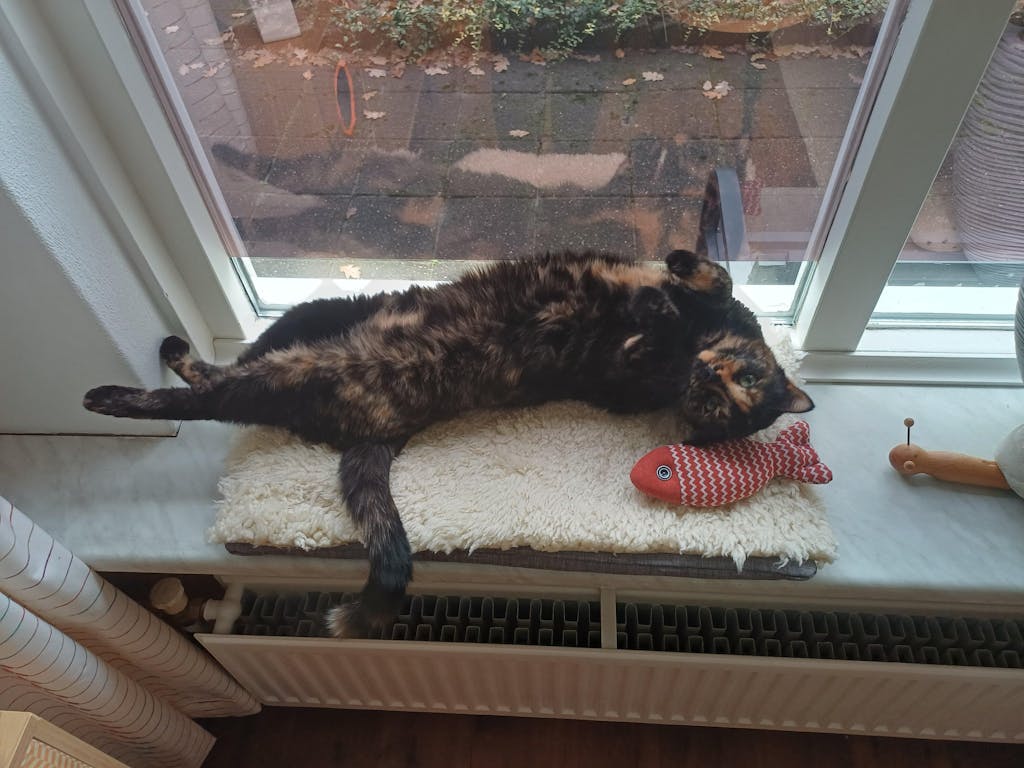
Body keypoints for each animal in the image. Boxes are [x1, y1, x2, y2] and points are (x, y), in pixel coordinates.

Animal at [82, 249, 813, 637]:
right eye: (744, 378)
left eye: (715, 408)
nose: (704, 379)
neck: (687, 349)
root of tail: (380, 431)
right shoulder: (703, 316)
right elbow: (718, 279)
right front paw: (680, 268)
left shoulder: (625, 368)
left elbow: (662, 318)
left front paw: (662, 304)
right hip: (314, 315)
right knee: (234, 359)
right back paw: (175, 350)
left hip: (296, 373)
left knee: (216, 396)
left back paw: (112, 395)